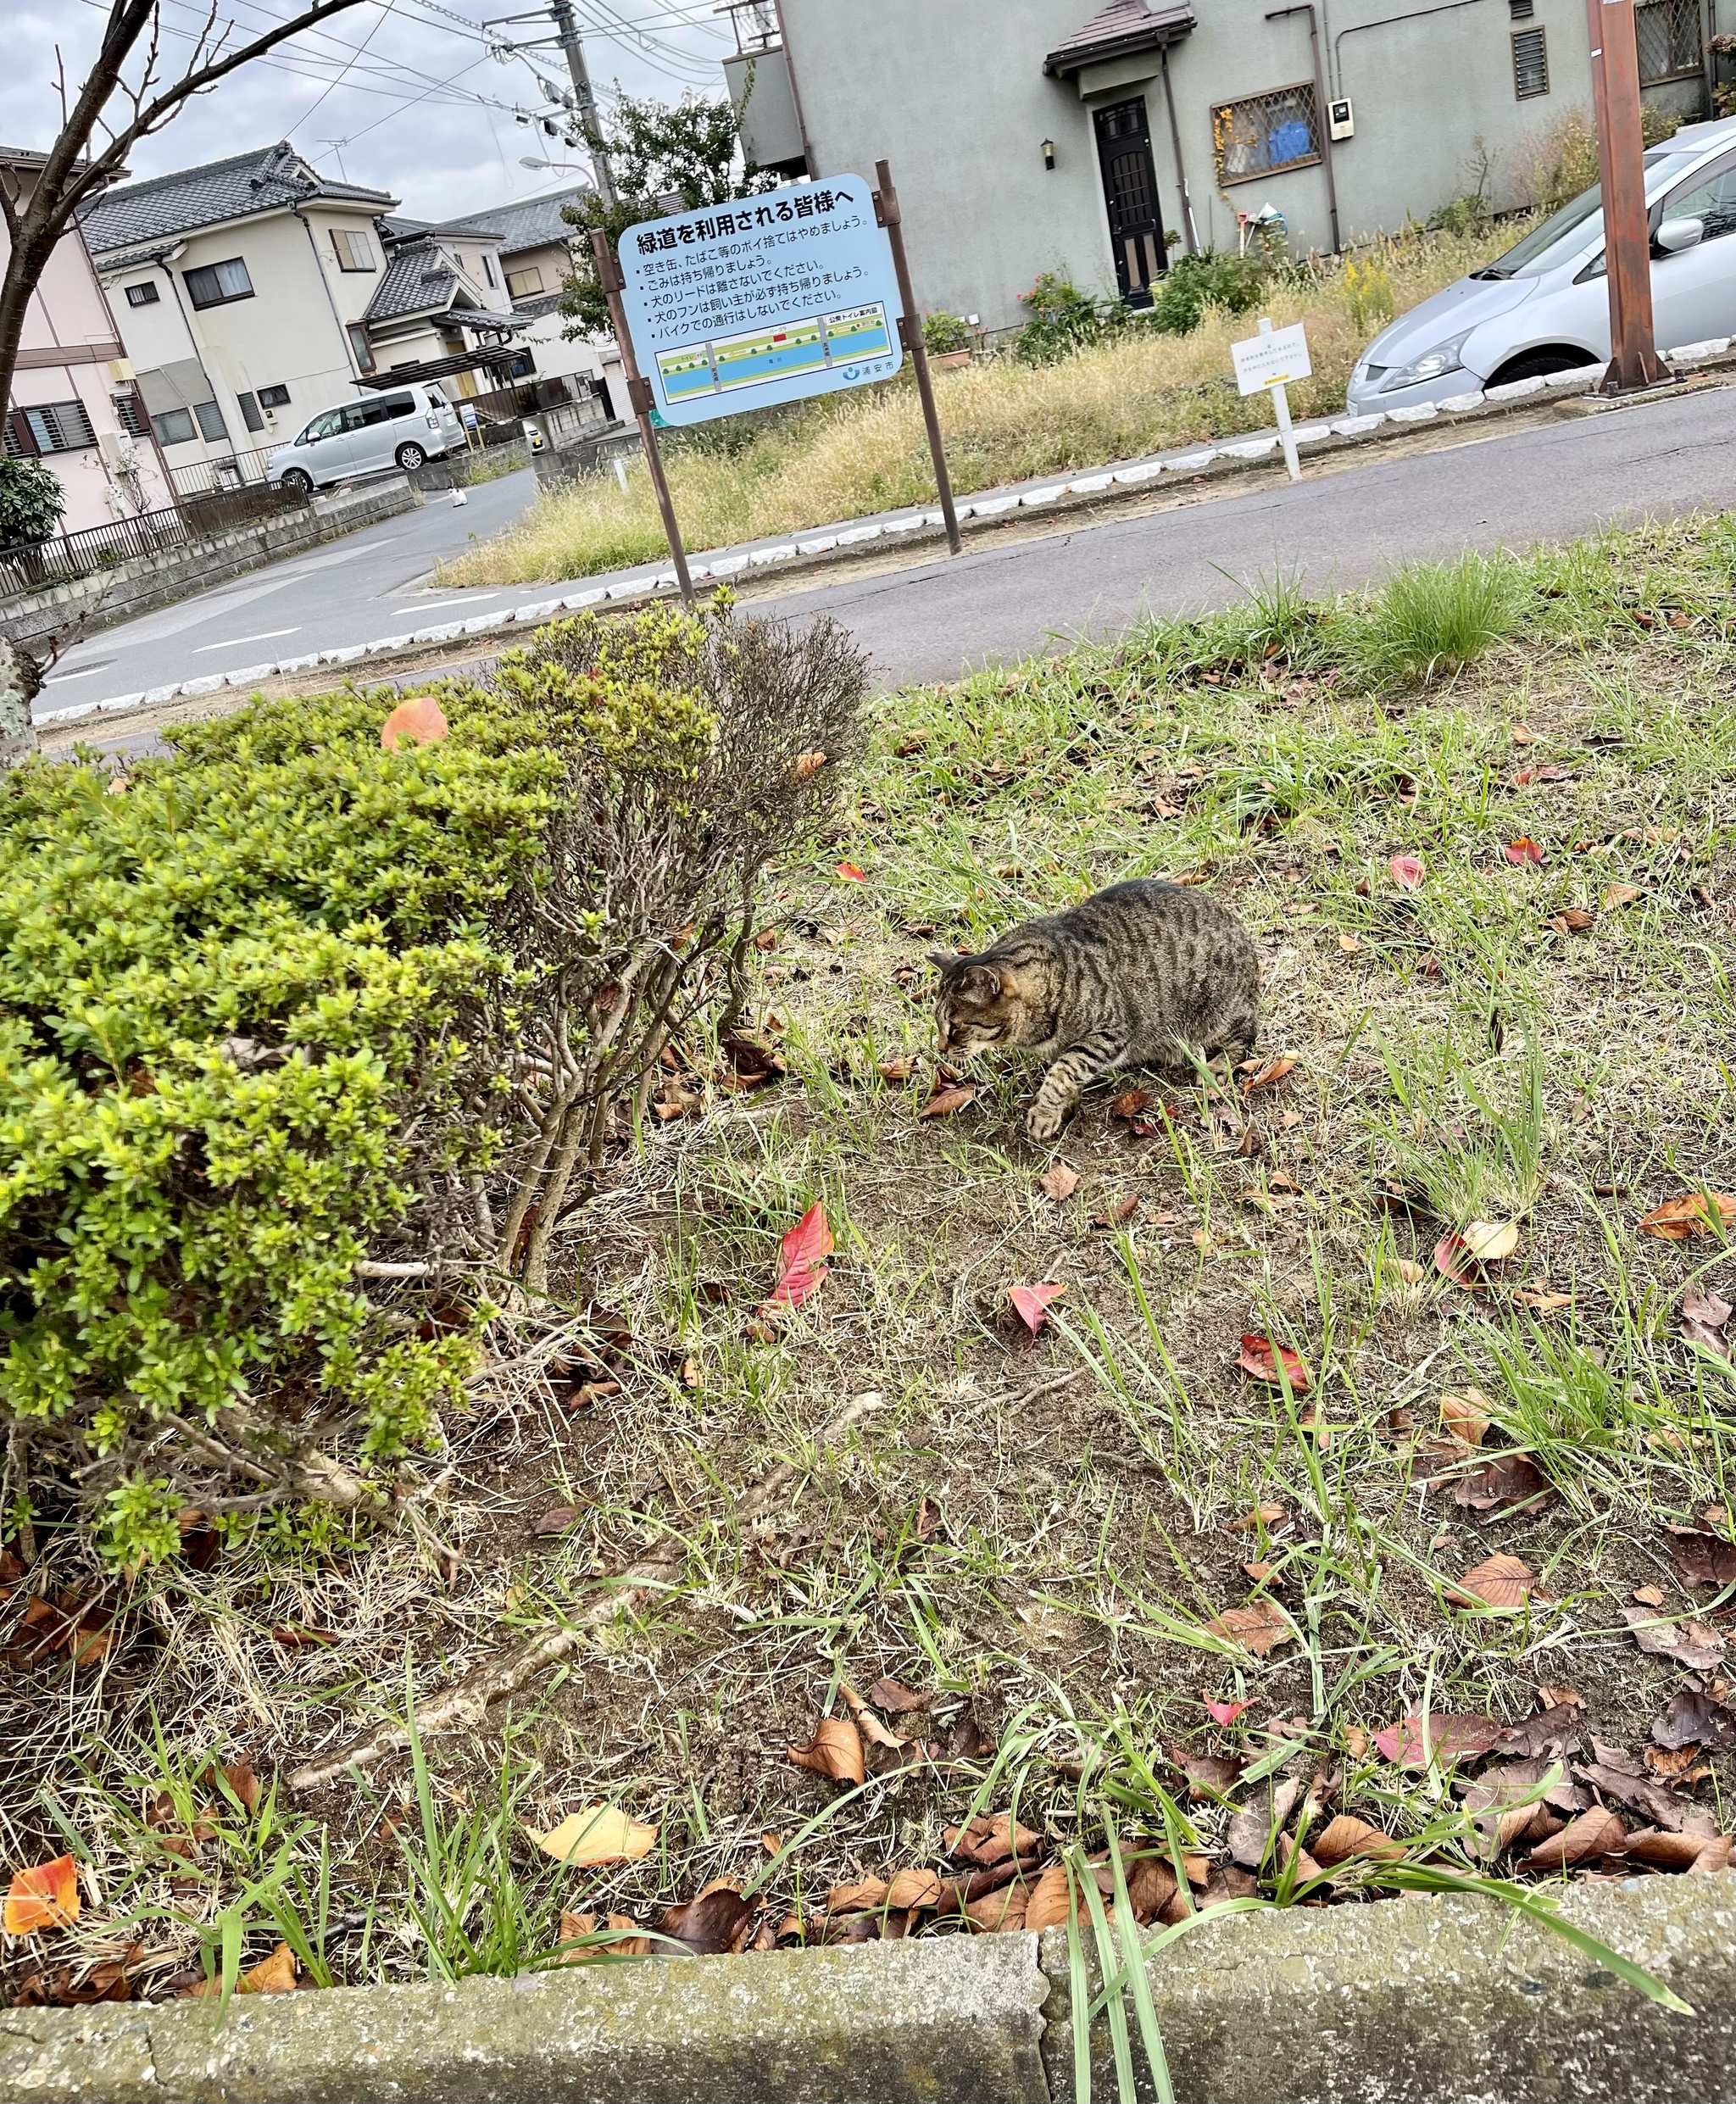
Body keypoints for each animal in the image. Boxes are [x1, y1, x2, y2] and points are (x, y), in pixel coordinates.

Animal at [926, 879, 1254, 1144]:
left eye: (955, 1027)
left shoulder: (1109, 1033)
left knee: (1246, 1035)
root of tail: (1243, 935)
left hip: (1217, 1012)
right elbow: (1065, 1071)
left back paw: (1217, 1066)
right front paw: (1065, 1106)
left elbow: (1064, 1071)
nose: (941, 1049)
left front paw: (1044, 1113)